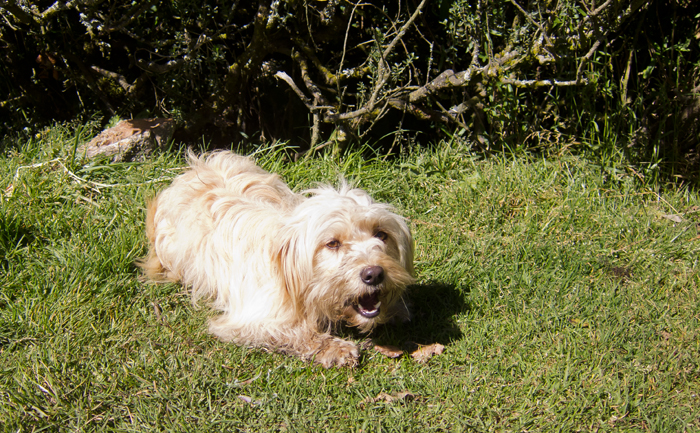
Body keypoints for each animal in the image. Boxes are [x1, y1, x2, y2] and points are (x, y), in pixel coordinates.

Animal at [141, 150, 416, 366]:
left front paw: (396, 308)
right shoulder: (251, 319)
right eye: (332, 243)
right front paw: (333, 347)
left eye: (381, 234)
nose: (374, 274)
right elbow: (294, 331)